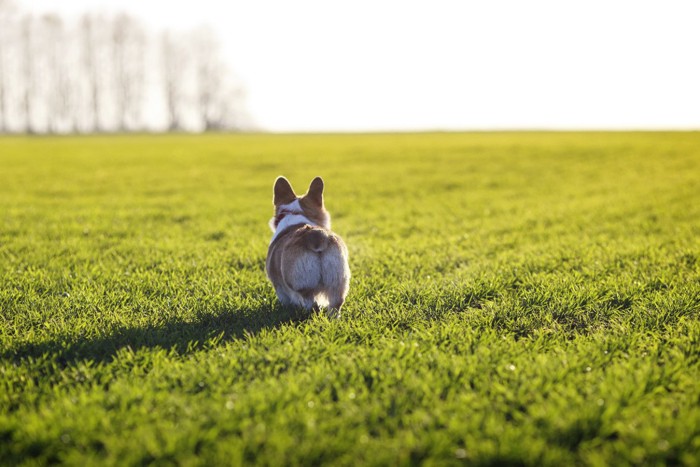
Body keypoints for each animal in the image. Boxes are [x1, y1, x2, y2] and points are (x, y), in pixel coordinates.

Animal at [266, 176, 350, 318]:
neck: (295, 214)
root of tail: (317, 236)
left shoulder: (279, 285)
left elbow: (284, 298)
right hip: (338, 281)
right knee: (335, 305)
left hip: (302, 284)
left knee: (311, 303)